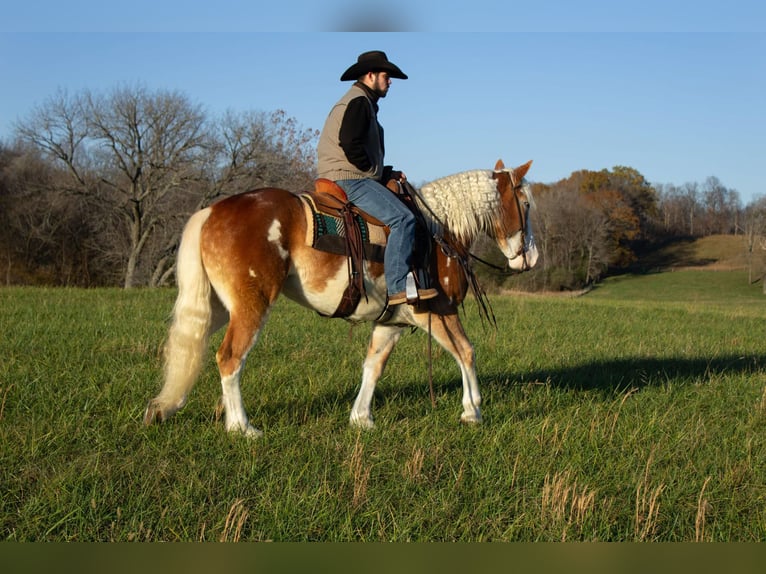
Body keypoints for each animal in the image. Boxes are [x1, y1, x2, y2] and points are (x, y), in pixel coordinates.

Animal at [143, 159, 538, 437]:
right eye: (526, 203)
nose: (529, 258)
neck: (437, 231)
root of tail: (211, 211)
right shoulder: (436, 312)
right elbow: (466, 352)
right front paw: (472, 411)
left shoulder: (393, 322)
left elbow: (373, 366)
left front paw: (361, 418)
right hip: (251, 305)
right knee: (229, 358)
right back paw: (242, 427)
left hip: (217, 307)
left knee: (189, 349)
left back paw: (165, 406)